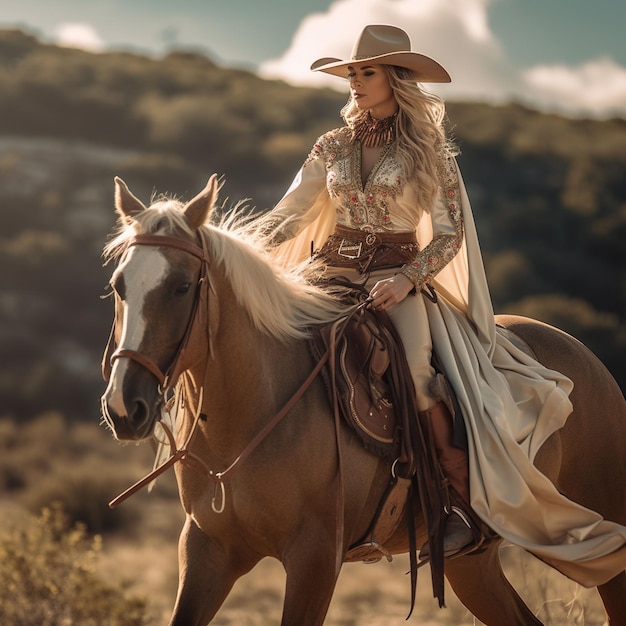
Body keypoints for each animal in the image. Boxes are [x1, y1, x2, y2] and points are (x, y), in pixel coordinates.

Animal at [101, 176, 624, 624]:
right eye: (118, 286)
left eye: (181, 286)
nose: (125, 408)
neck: (256, 409)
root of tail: (589, 359)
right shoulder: (206, 550)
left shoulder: (315, 560)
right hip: (471, 563)